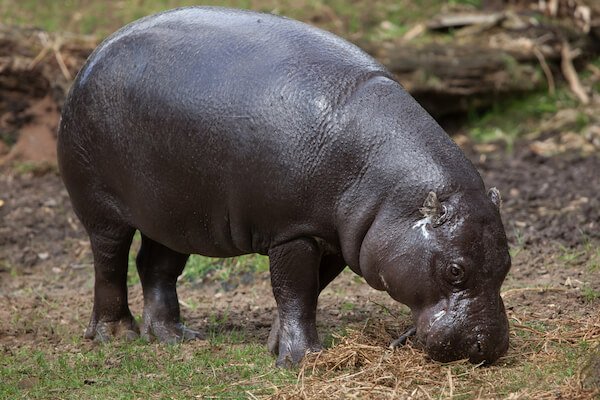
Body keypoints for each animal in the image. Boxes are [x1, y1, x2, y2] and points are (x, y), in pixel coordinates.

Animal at [57, 7, 510, 368]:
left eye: (507, 264)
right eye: (455, 271)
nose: (488, 348)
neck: (388, 191)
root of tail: (96, 53)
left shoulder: (332, 238)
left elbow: (307, 293)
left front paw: (277, 346)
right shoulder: (294, 231)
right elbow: (294, 291)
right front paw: (303, 359)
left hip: (175, 212)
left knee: (155, 266)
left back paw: (173, 336)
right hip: (101, 207)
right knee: (109, 264)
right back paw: (117, 335)